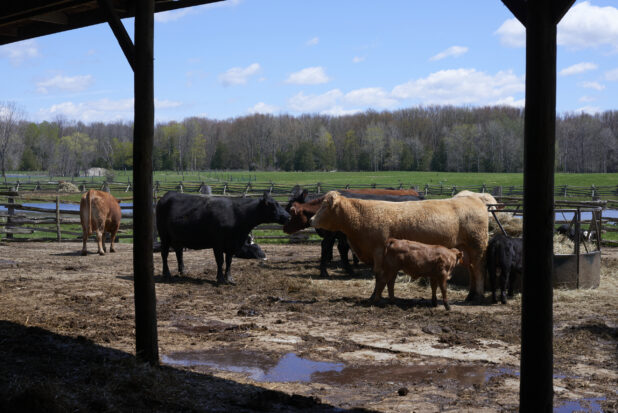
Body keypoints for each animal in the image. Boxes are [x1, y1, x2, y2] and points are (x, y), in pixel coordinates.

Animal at [154, 191, 288, 284]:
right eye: (273, 205)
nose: (288, 216)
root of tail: (166, 196)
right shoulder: (218, 243)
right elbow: (220, 261)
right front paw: (220, 279)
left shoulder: (232, 245)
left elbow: (229, 261)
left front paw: (229, 278)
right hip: (164, 235)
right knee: (164, 254)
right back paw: (167, 274)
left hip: (177, 237)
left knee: (179, 252)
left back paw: (183, 271)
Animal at [310, 191, 488, 302]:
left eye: (324, 206)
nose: (311, 219)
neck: (362, 216)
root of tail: (474, 199)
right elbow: (389, 277)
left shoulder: (379, 251)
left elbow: (379, 275)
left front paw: (375, 296)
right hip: (466, 250)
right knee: (472, 271)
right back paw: (470, 296)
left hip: (477, 247)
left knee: (479, 271)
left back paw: (478, 297)